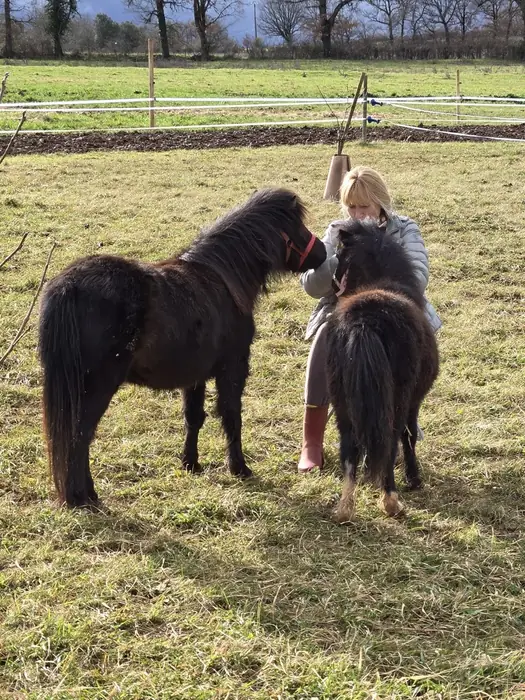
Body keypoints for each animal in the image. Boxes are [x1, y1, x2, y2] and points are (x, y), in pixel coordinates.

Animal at [39, 188, 326, 508]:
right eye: (298, 227)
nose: (323, 253)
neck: (225, 280)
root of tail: (68, 286)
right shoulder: (232, 369)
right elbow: (231, 415)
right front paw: (239, 467)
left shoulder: (196, 375)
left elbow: (194, 417)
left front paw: (190, 463)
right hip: (96, 387)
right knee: (79, 436)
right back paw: (85, 497)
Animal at [325, 219, 439, 520]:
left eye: (339, 254)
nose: (333, 284)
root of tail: (364, 321)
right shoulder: (413, 401)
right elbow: (409, 436)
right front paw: (413, 478)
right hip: (396, 400)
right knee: (391, 439)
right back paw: (391, 500)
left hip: (342, 403)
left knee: (350, 448)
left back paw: (345, 507)